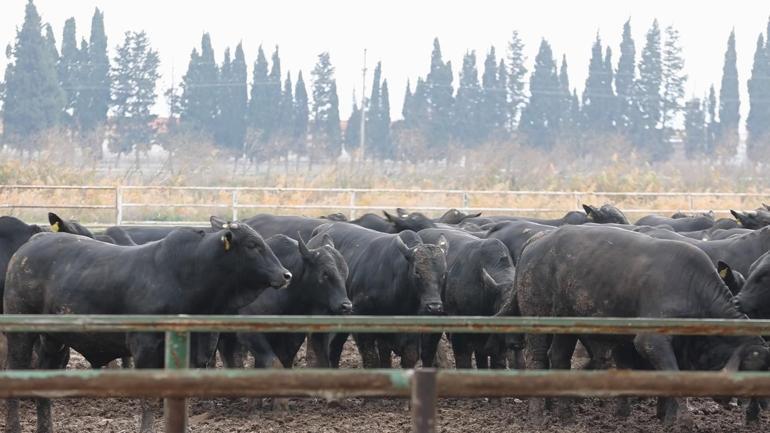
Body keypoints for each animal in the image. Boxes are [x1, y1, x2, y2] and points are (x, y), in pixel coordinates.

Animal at [3, 216, 292, 432]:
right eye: (253, 244)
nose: (286, 274)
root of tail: (33, 243)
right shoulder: (146, 347)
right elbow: (149, 398)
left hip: (54, 340)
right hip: (21, 333)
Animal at [510, 226, 768, 426]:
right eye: (749, 368)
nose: (748, 408)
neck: (691, 288)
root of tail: (539, 239)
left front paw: (669, 419)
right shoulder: (650, 341)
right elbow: (672, 375)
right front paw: (684, 420)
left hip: (567, 323)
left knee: (559, 358)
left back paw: (566, 416)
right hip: (538, 316)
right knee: (537, 358)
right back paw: (536, 415)